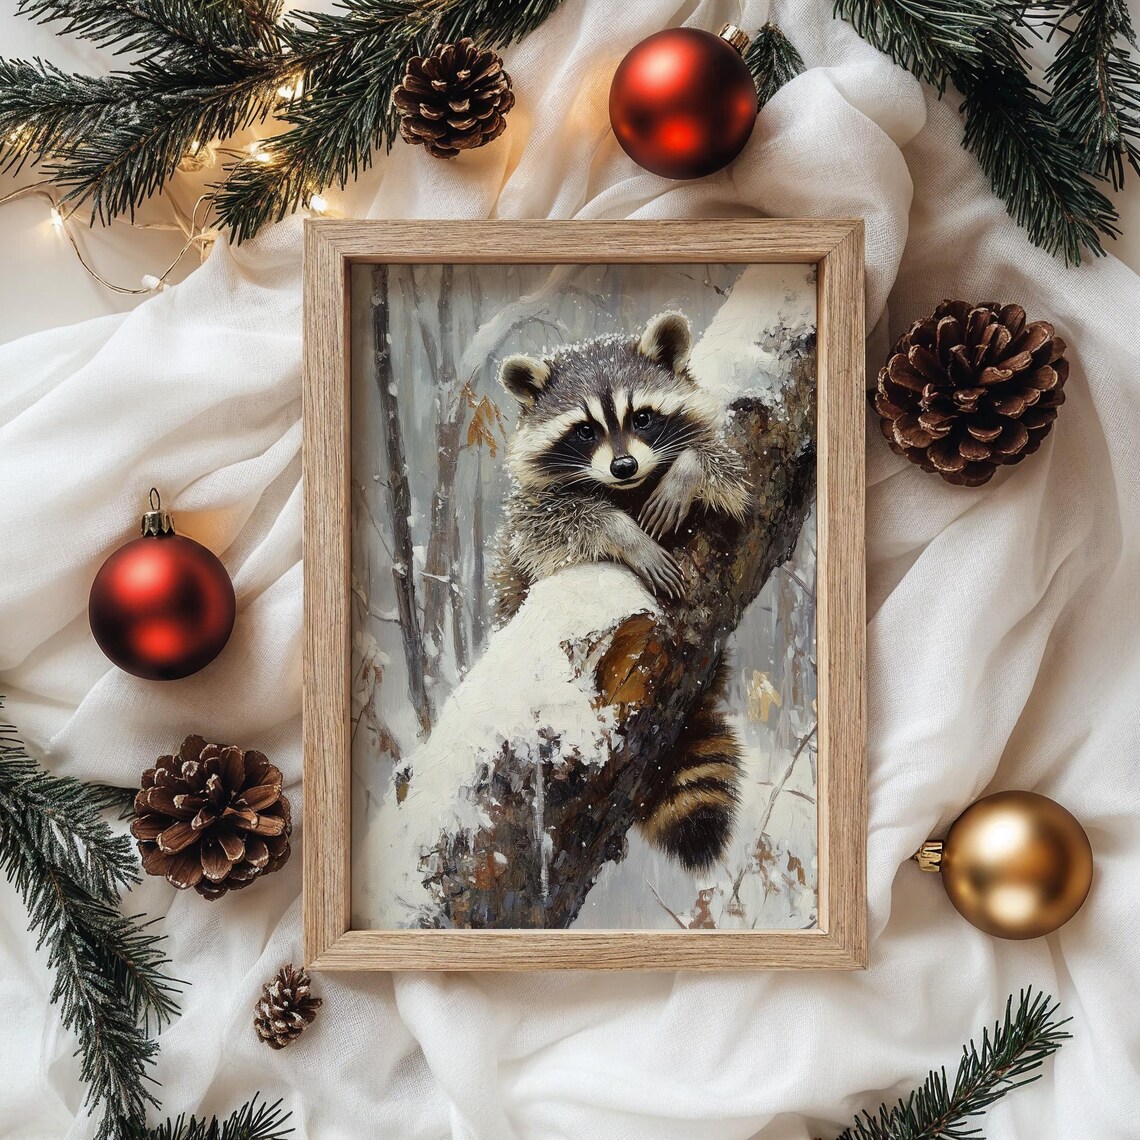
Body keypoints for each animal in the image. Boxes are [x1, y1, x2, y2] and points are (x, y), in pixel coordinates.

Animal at [491, 310, 749, 870]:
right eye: (585, 430)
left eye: (644, 418)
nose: (624, 466)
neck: (626, 490)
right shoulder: (530, 511)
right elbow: (550, 528)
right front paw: (622, 533)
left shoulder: (732, 464)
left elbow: (726, 469)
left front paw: (686, 472)